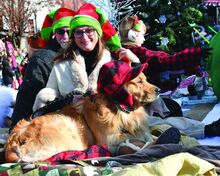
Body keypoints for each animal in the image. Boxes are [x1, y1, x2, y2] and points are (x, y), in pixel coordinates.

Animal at [4, 64, 160, 162]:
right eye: (139, 82)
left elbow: (145, 134)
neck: (116, 110)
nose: (158, 90)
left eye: (146, 80)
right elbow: (137, 138)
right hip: (69, 132)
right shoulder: (108, 141)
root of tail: (14, 140)